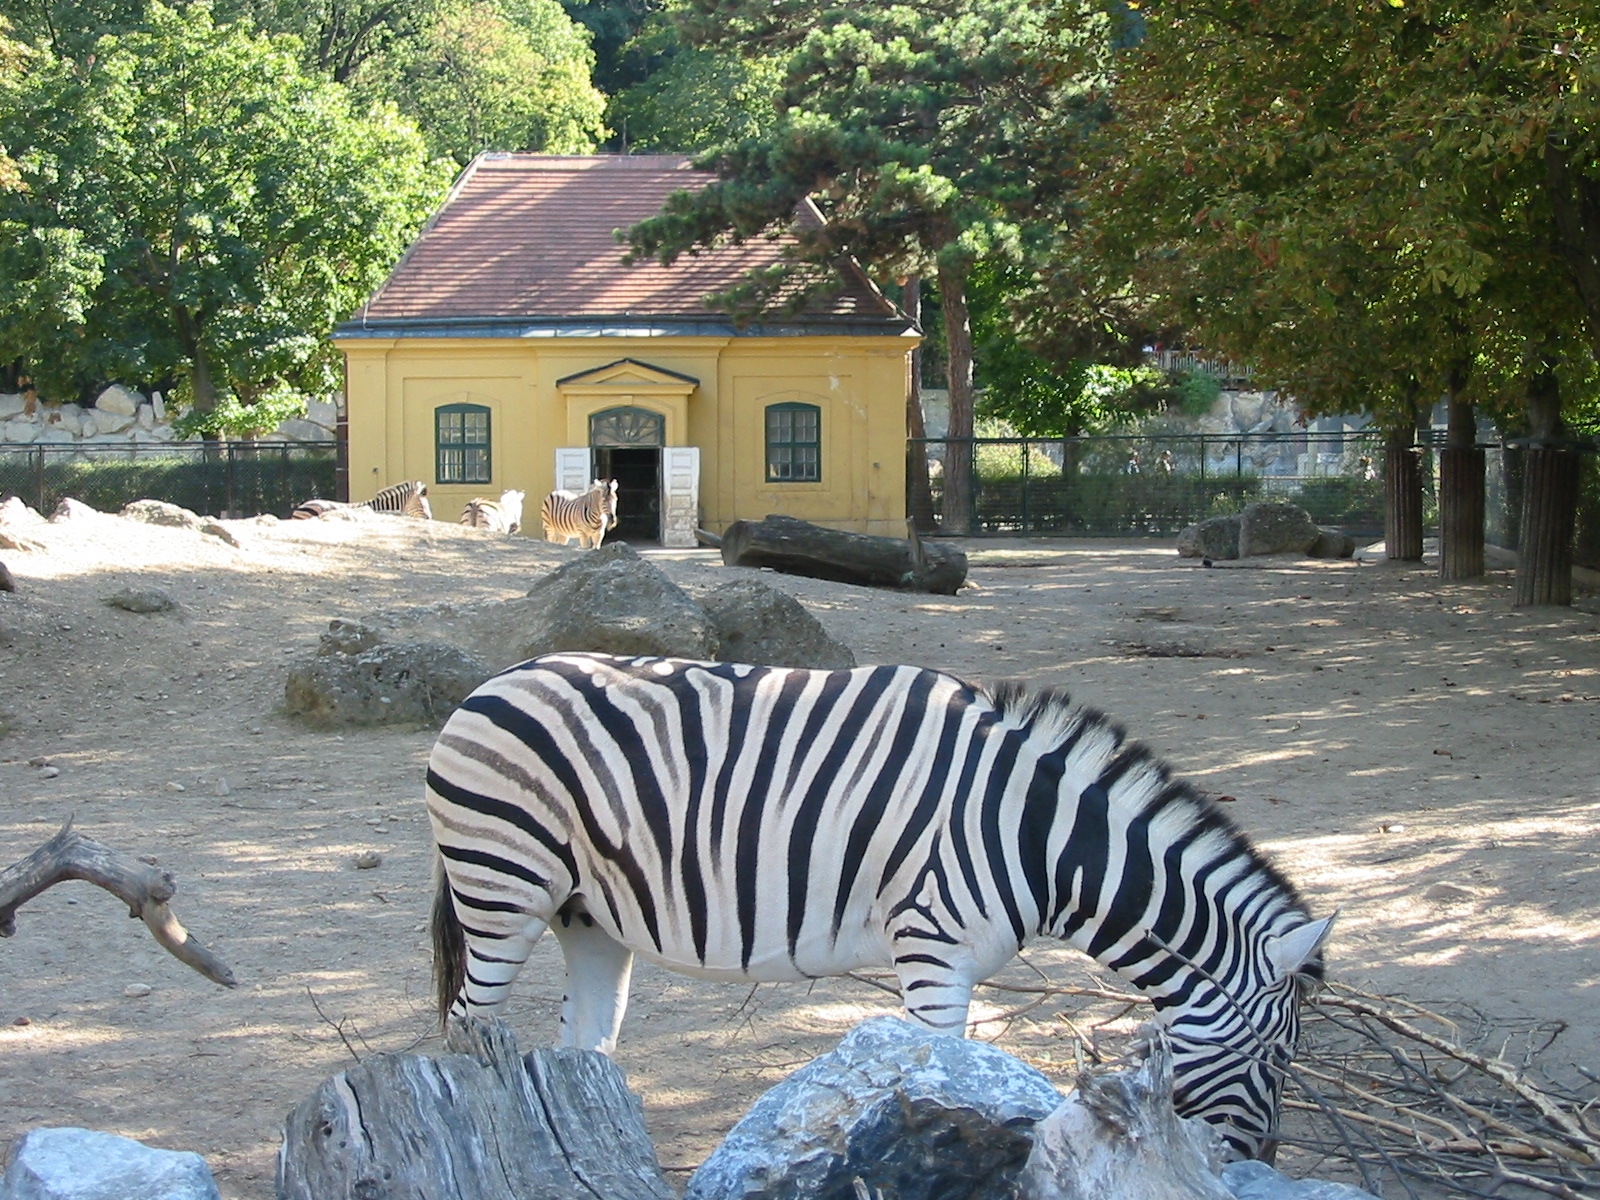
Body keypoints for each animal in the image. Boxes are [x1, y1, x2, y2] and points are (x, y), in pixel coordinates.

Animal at [427, 652, 1333, 1159]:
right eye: (1279, 1059)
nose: (1264, 1162)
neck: (1036, 836)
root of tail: (492, 681)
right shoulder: (932, 951)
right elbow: (944, 1074)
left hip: (589, 915)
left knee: (583, 1049)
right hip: (502, 887)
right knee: (465, 1032)